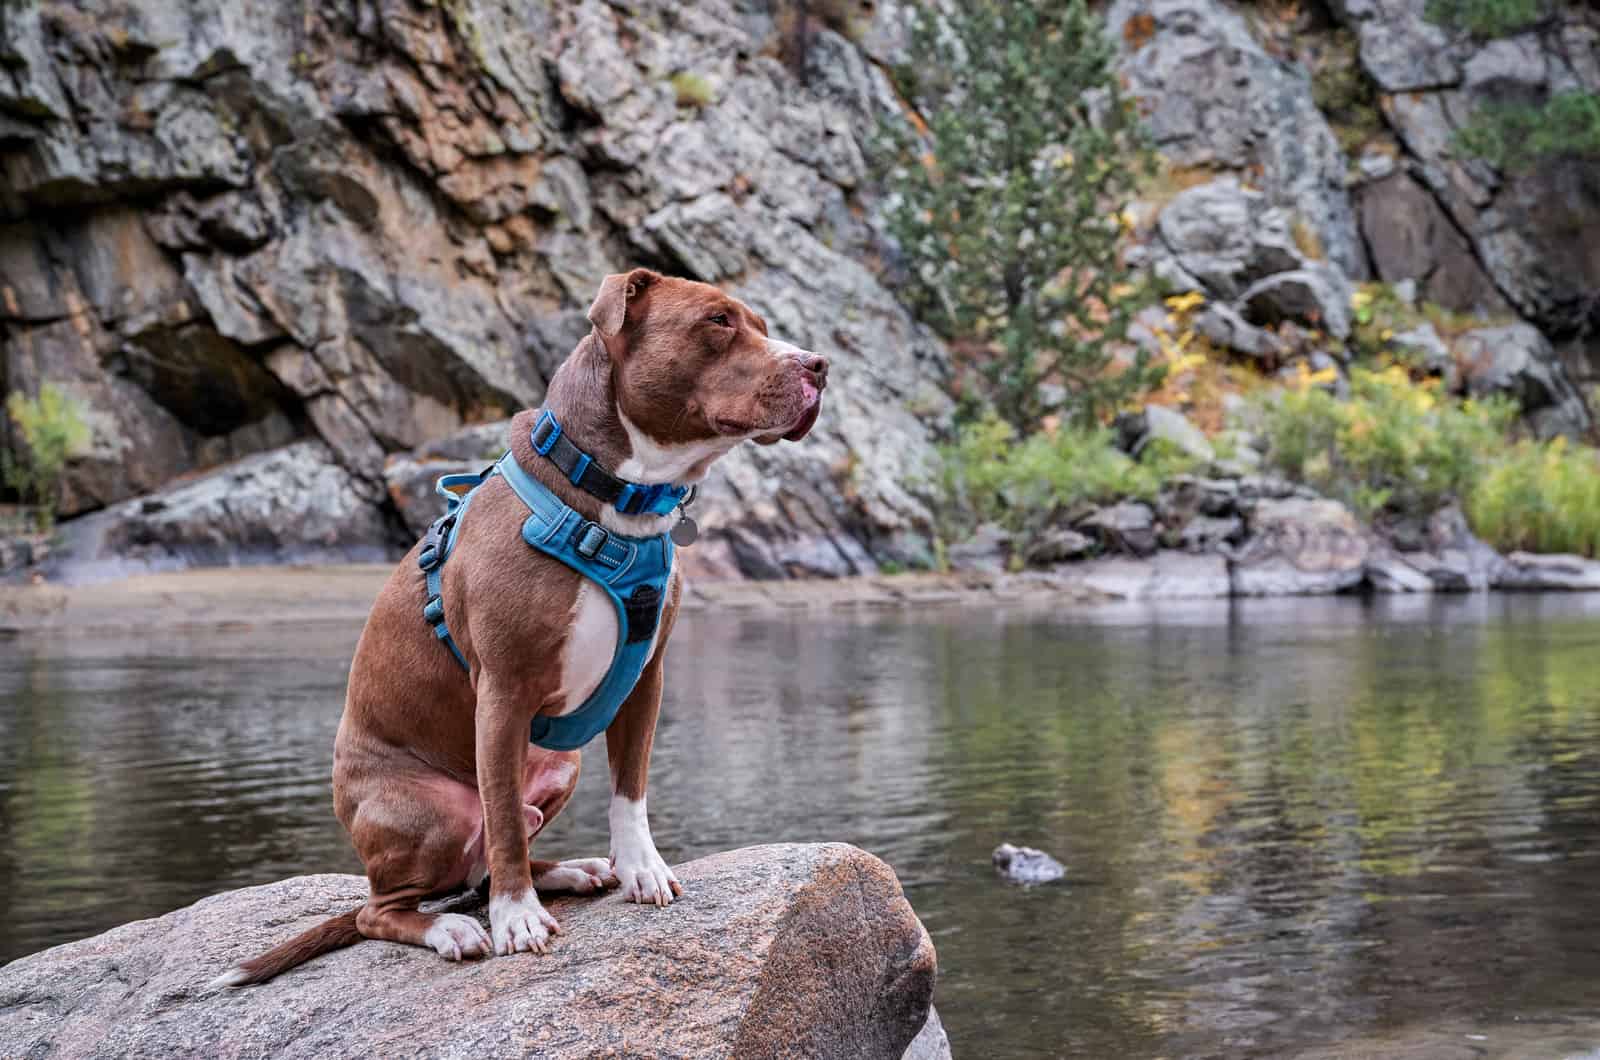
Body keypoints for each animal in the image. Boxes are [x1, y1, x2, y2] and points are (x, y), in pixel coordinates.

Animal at [214, 270, 832, 986]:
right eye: (718, 322)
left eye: (760, 324)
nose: (819, 365)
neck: (620, 499)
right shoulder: (503, 694)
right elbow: (505, 817)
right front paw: (518, 919)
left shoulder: (645, 679)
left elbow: (631, 789)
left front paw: (640, 867)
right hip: (428, 813)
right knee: (388, 906)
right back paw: (453, 927)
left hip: (560, 763)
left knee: (477, 870)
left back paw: (571, 870)